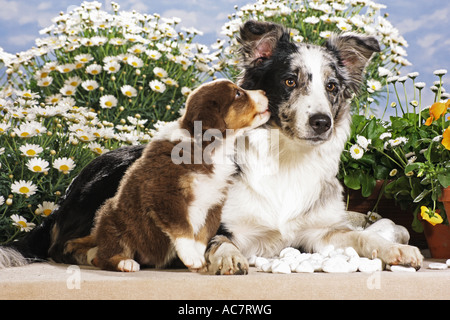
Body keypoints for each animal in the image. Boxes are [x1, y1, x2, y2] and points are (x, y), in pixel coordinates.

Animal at [64, 79, 268, 272]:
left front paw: (200, 260)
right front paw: (192, 258)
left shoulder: (214, 202)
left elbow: (202, 236)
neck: (208, 147)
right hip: (113, 219)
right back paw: (125, 263)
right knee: (104, 255)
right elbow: (183, 228)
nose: (264, 91)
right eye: (238, 93)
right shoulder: (164, 193)